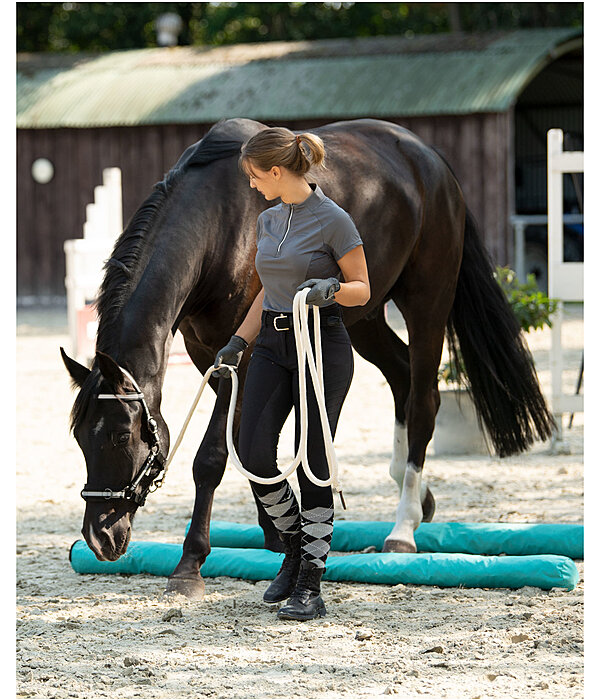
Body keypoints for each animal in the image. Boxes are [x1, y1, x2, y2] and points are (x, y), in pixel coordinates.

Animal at [61, 117, 552, 600]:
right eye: (80, 439)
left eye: (121, 437)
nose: (100, 538)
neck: (219, 224)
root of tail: (430, 159)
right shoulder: (215, 355)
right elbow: (248, 444)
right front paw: (278, 536)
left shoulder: (239, 357)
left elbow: (213, 457)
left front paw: (190, 565)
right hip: (364, 316)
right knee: (401, 375)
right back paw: (418, 498)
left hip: (427, 302)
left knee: (423, 399)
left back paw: (404, 525)